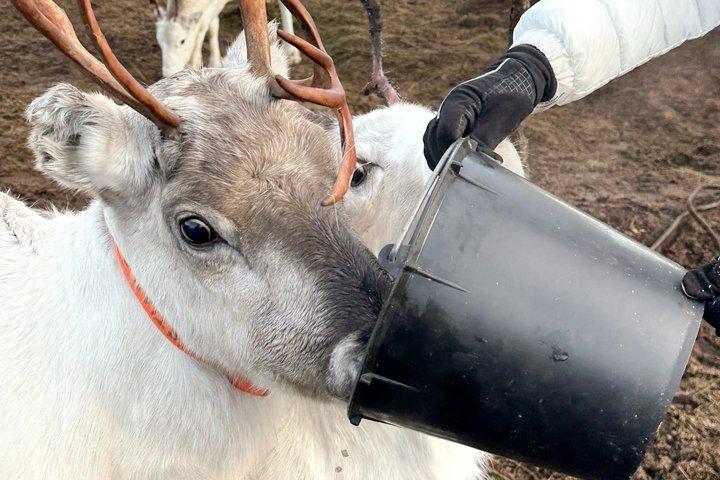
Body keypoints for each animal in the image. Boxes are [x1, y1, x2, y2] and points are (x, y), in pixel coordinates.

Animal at [151, 0, 302, 77]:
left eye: (182, 41)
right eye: (159, 42)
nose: (168, 72)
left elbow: (204, 25)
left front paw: (197, 64)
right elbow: (212, 25)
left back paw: (292, 53)